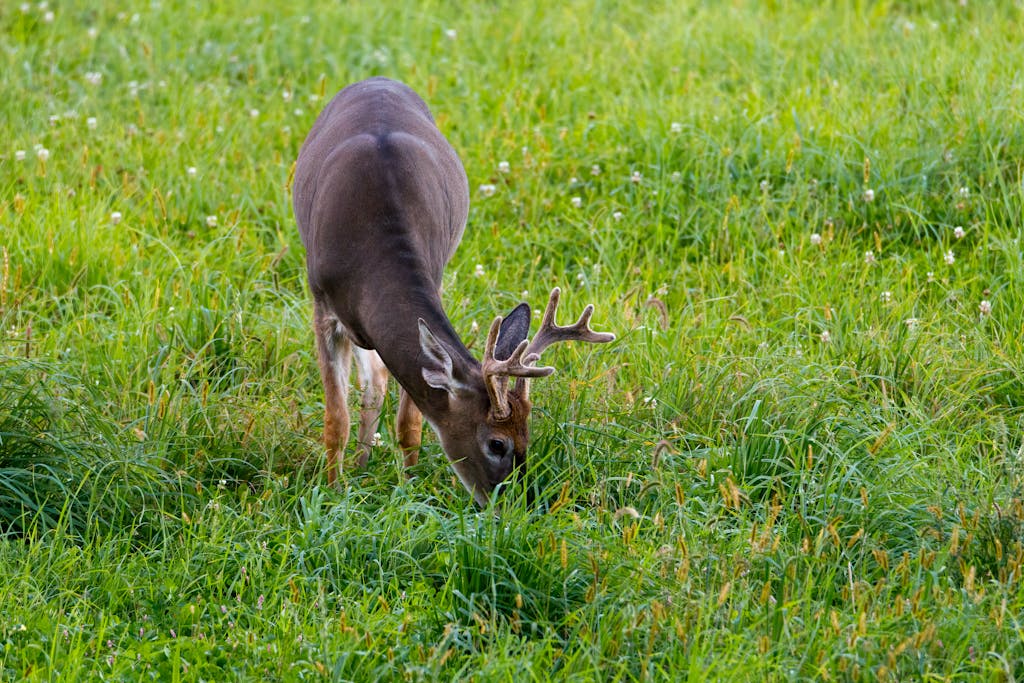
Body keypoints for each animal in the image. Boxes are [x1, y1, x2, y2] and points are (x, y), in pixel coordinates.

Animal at [292, 77, 614, 506]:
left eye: (528, 436)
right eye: (496, 443)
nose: (517, 505)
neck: (374, 245)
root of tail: (378, 79)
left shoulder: (436, 273)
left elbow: (409, 422)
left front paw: (409, 489)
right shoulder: (322, 304)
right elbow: (335, 420)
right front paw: (331, 492)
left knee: (376, 380)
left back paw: (363, 466)